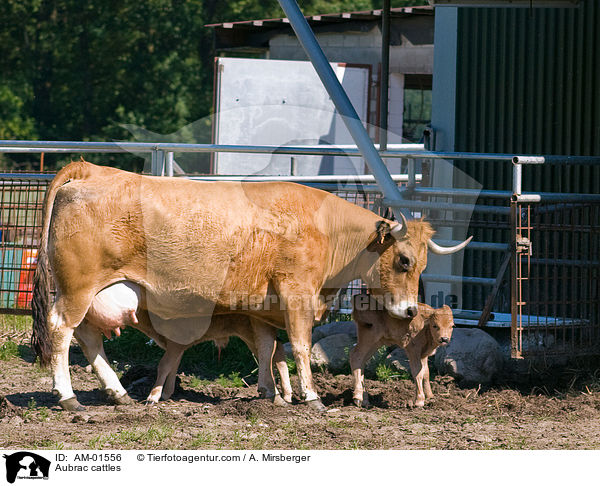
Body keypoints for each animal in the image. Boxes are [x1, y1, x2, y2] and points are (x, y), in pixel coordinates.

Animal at [30, 160, 468, 410]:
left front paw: (271, 395)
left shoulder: (262, 308)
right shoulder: (296, 295)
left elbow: (267, 348)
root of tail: (91, 170)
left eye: (422, 263)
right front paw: (310, 397)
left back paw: (118, 393)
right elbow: (300, 345)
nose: (409, 311)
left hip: (99, 293)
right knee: (61, 331)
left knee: (89, 338)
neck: (324, 228)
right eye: (404, 260)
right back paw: (69, 398)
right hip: (78, 288)